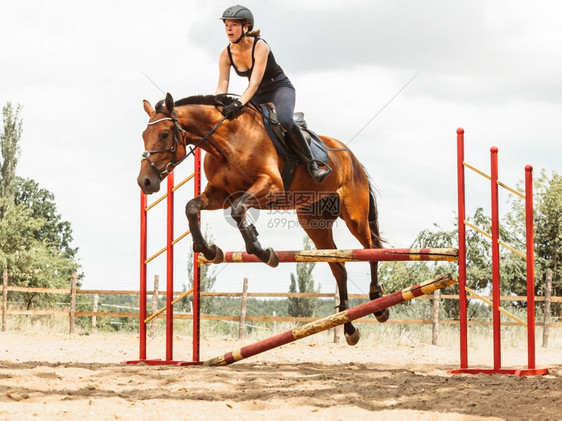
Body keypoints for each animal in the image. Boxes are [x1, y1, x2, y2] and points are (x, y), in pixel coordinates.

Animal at [138, 92, 388, 344]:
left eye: (164, 134)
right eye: (143, 136)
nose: (145, 182)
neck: (226, 141)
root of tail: (351, 156)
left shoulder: (270, 186)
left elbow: (238, 210)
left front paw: (262, 251)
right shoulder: (220, 194)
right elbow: (191, 207)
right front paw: (209, 250)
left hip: (354, 216)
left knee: (371, 249)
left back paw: (378, 304)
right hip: (314, 225)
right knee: (340, 267)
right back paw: (349, 327)